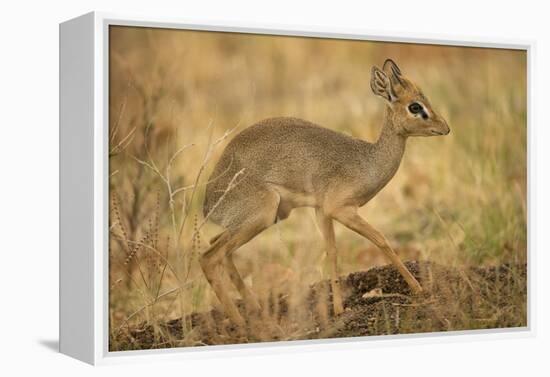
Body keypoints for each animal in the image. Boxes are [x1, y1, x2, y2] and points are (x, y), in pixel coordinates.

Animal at [201, 58, 450, 328]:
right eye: (415, 106)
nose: (445, 128)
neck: (367, 161)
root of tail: (208, 204)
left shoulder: (321, 211)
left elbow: (331, 251)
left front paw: (339, 308)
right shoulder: (340, 209)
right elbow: (380, 239)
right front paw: (418, 289)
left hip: (261, 220)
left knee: (220, 249)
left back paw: (257, 312)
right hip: (261, 216)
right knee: (210, 257)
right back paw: (241, 323)